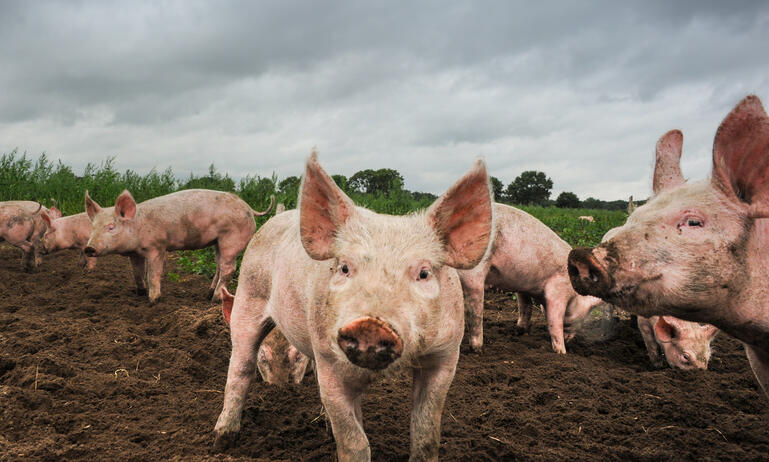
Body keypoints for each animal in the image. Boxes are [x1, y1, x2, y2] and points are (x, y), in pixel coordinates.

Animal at [81, 188, 272, 304]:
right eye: (93, 226)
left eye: (111, 227)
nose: (89, 248)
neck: (138, 226)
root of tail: (249, 208)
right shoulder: (135, 253)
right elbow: (137, 273)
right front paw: (140, 293)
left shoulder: (157, 248)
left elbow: (153, 273)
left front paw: (153, 300)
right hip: (218, 241)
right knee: (219, 266)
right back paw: (208, 294)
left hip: (231, 239)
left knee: (229, 268)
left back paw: (215, 299)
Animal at [212, 152, 492, 462]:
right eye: (345, 267)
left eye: (424, 273)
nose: (370, 324)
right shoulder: (328, 360)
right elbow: (353, 441)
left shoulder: (446, 355)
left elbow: (426, 431)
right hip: (249, 294)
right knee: (241, 367)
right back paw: (222, 440)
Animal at [456, 203, 600, 354]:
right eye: (585, 317)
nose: (569, 343)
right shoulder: (557, 290)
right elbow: (554, 321)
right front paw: (562, 353)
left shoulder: (523, 284)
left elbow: (526, 306)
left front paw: (519, 331)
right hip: (474, 269)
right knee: (474, 312)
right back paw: (477, 349)